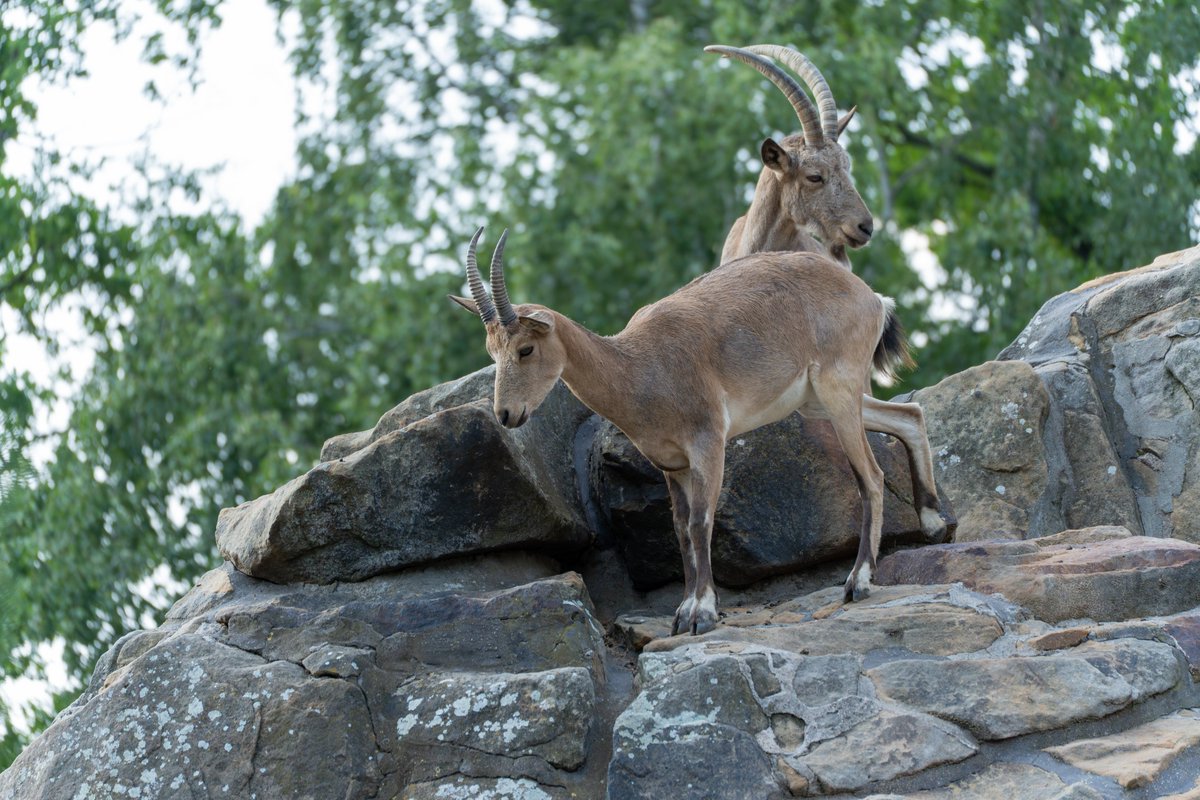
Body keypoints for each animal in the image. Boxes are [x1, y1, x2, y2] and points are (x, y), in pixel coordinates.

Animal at [452, 227, 910, 636]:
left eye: (526, 348)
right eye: (492, 351)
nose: (506, 413)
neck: (640, 366)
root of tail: (872, 299)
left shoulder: (708, 442)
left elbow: (701, 522)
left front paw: (702, 614)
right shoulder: (672, 464)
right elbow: (680, 530)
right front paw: (682, 611)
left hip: (838, 392)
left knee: (871, 477)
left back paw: (858, 582)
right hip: (819, 403)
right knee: (902, 421)